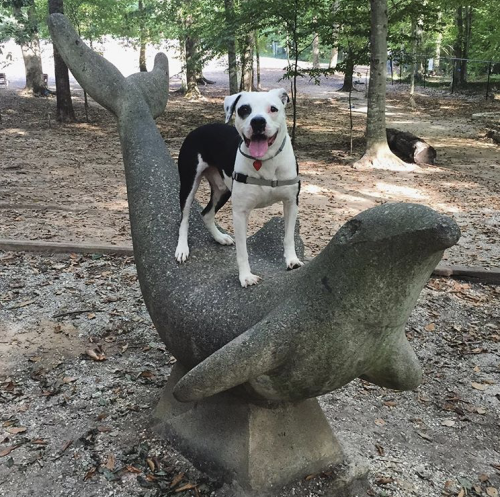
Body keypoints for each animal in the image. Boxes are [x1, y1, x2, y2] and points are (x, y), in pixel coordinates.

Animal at [174, 89, 302, 286]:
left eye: (273, 108)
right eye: (244, 109)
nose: (258, 121)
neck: (266, 161)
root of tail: (199, 128)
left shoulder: (291, 203)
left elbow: (288, 237)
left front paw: (292, 260)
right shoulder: (240, 213)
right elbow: (242, 251)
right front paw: (246, 276)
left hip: (222, 190)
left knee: (207, 213)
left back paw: (220, 237)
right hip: (189, 184)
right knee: (185, 218)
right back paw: (182, 248)